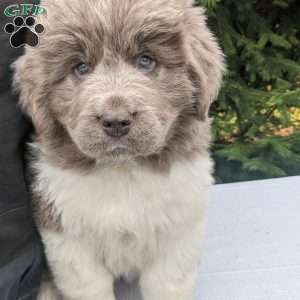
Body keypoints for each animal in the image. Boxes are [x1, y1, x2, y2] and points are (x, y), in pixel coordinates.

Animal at [14, 0, 225, 300]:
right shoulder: (68, 238)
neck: (123, 169)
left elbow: (168, 284)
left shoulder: (178, 231)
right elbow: (90, 287)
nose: (115, 121)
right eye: (81, 68)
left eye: (146, 60)